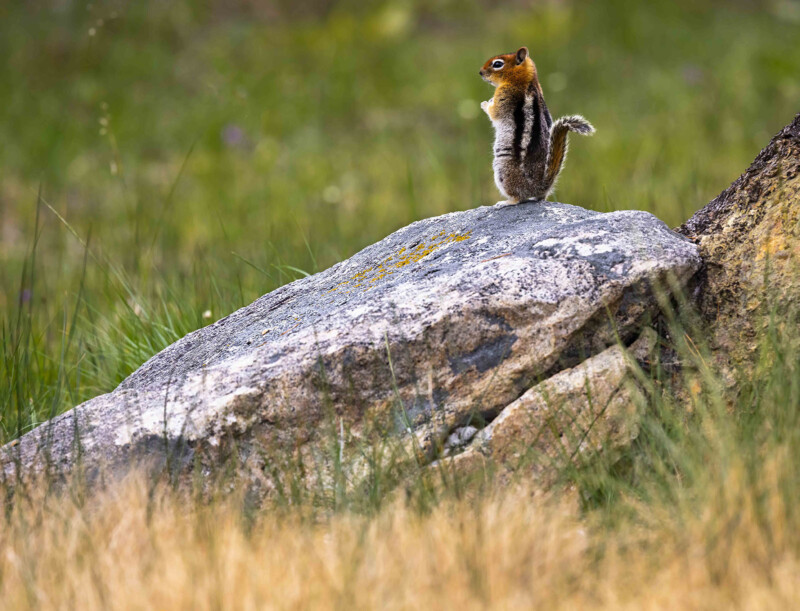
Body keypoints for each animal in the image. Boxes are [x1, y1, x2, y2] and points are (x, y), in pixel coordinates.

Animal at [480, 46, 594, 207]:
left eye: (497, 64)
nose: (480, 72)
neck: (526, 81)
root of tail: (541, 186)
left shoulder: (505, 96)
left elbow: (494, 112)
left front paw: (485, 103)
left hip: (503, 171)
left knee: (519, 197)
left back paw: (506, 202)